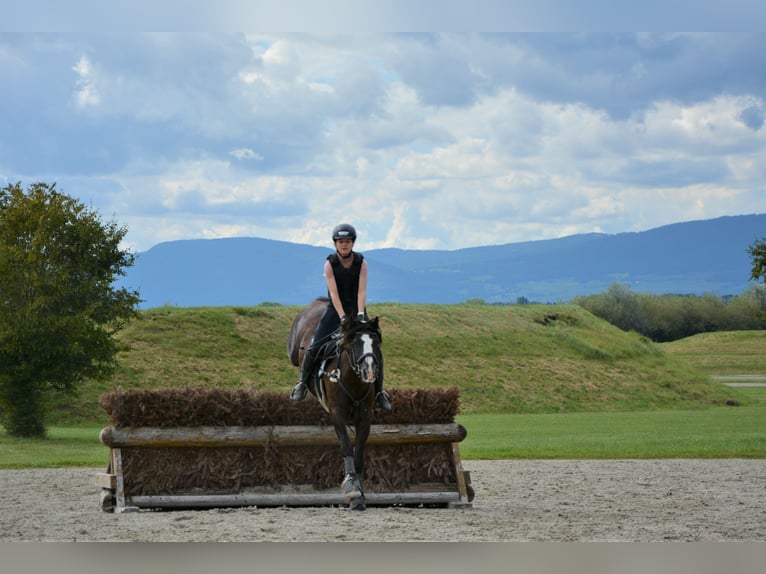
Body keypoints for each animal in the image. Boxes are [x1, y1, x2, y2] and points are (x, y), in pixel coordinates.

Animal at [288, 296, 384, 512]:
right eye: (356, 342)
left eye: (375, 343)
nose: (369, 372)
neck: (353, 380)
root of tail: (319, 302)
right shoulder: (336, 414)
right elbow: (347, 447)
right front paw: (352, 488)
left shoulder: (365, 418)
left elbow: (359, 451)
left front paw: (359, 492)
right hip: (295, 351)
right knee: (302, 356)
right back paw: (299, 388)